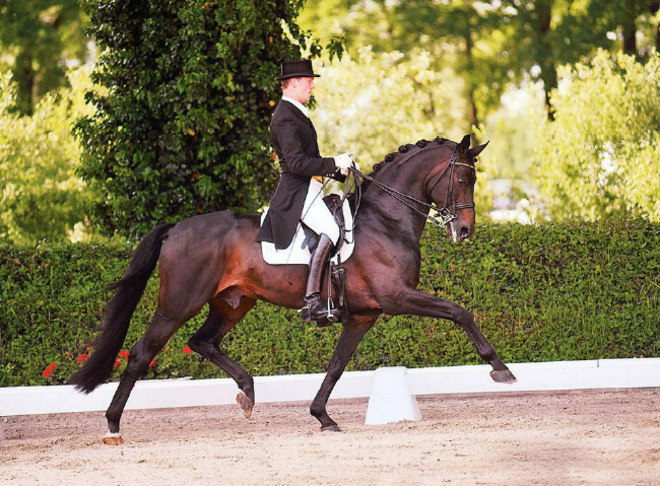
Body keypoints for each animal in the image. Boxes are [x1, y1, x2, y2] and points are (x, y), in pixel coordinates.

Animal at [70, 134, 517, 444]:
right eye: (463, 177)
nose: (465, 231)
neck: (386, 219)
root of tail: (178, 227)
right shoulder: (396, 296)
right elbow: (459, 311)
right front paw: (500, 369)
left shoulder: (364, 314)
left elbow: (337, 365)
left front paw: (322, 416)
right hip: (178, 304)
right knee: (141, 354)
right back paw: (112, 425)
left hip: (233, 303)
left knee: (203, 342)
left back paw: (248, 393)